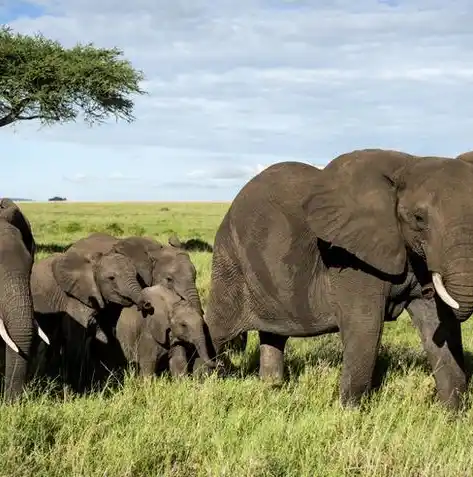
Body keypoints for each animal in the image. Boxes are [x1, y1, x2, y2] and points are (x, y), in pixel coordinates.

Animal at [203, 149, 473, 410]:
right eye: (419, 219)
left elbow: (438, 323)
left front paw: (451, 415)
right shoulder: (350, 257)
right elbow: (366, 325)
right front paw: (351, 413)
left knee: (273, 336)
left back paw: (272, 387)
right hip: (230, 259)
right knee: (218, 328)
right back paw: (202, 381)